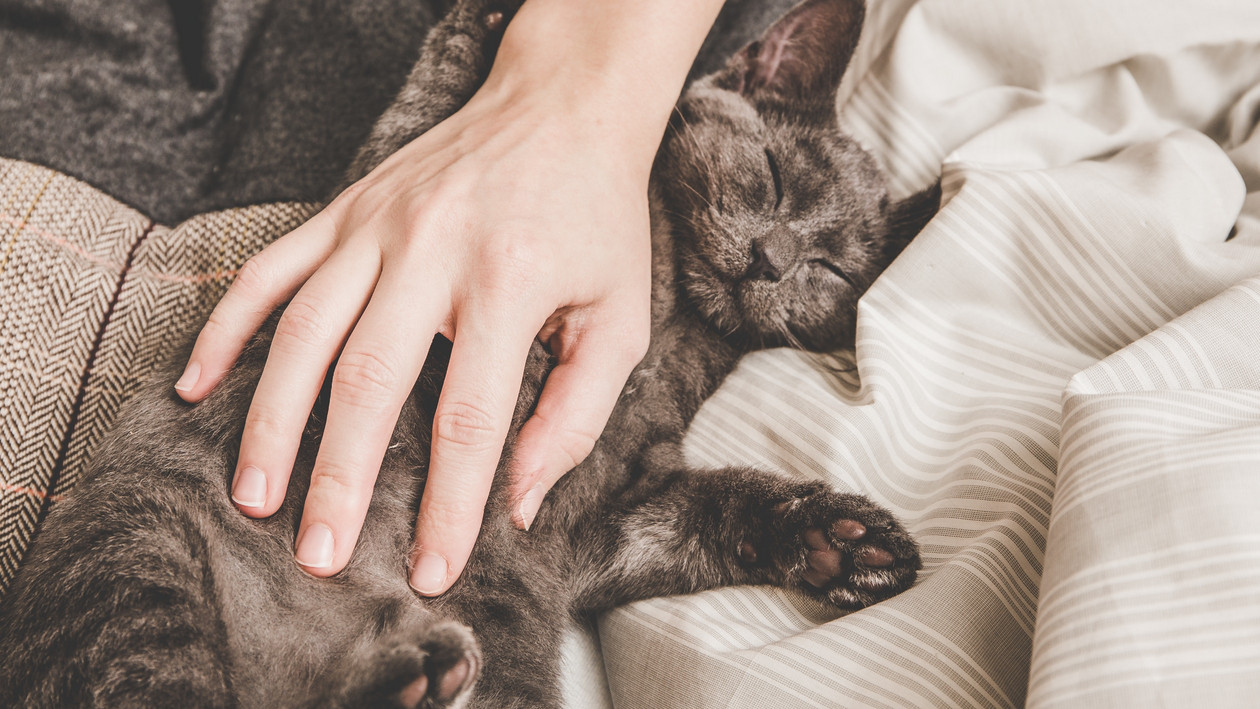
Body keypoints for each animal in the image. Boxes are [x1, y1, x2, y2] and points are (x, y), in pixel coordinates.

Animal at [0, 0, 937, 705]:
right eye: (770, 174)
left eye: (829, 266)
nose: (772, 259)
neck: (671, 325)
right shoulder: (395, 232)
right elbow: (434, 100)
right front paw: (495, 24)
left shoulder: (599, 510)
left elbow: (712, 507)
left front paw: (843, 541)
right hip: (141, 550)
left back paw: (420, 674)